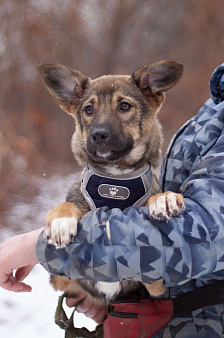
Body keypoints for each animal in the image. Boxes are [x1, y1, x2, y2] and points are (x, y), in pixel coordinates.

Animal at [38, 60, 185, 306]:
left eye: (124, 106)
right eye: (89, 110)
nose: (98, 135)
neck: (116, 177)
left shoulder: (158, 288)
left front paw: (164, 199)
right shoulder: (60, 279)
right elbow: (66, 204)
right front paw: (61, 222)